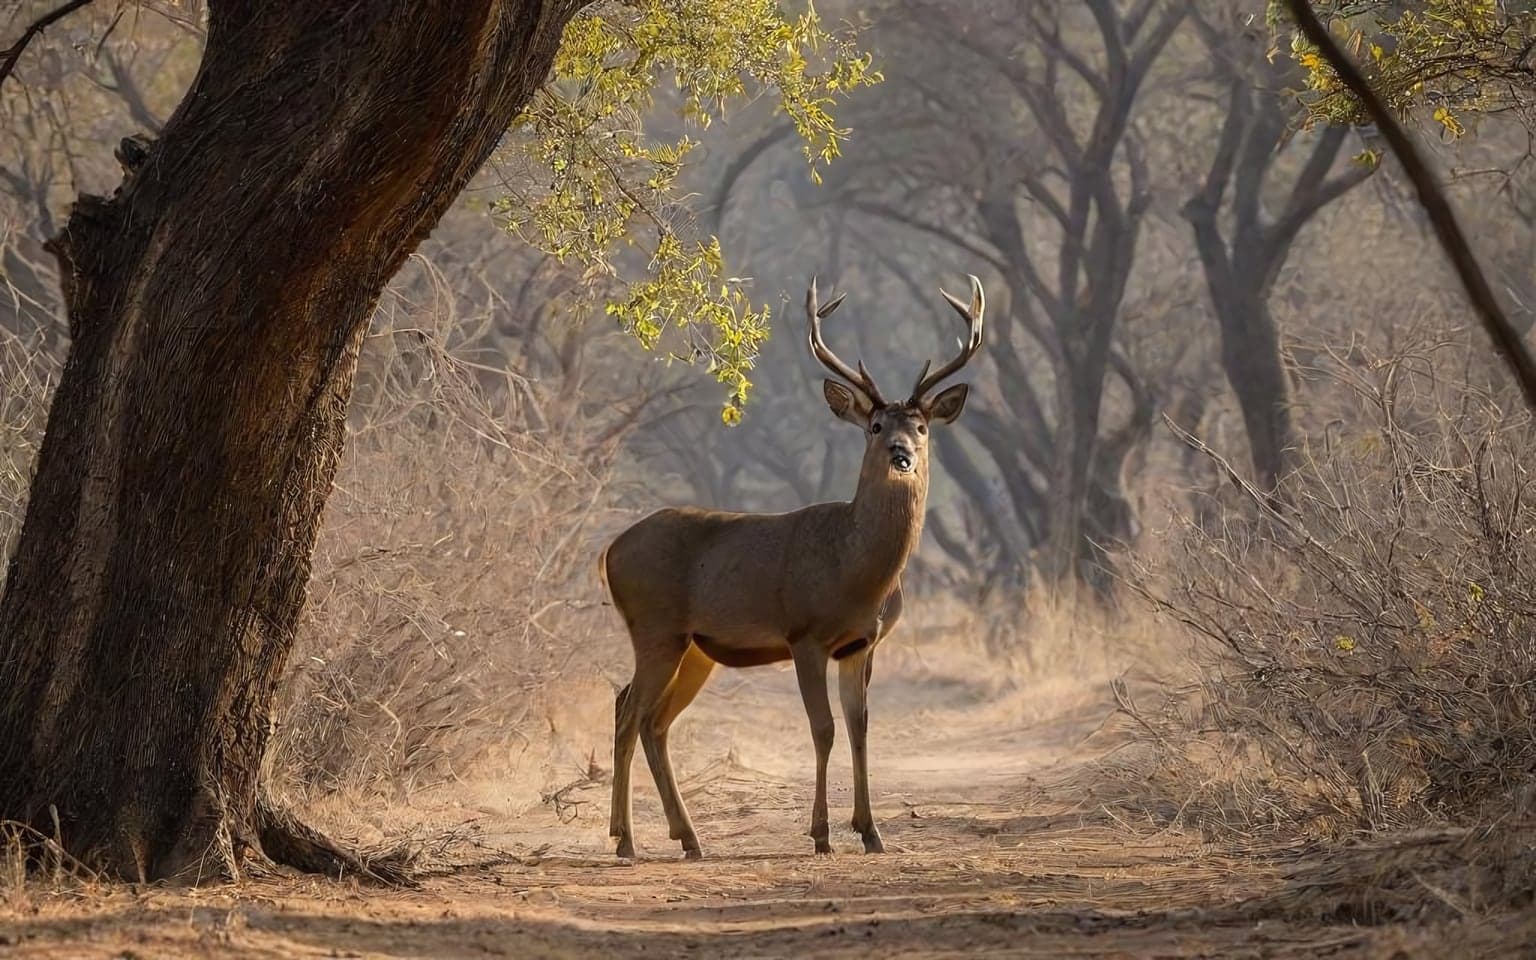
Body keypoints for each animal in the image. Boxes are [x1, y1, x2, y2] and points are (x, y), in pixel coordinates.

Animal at [601, 275, 985, 860]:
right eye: (875, 425)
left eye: (921, 426)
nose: (901, 454)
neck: (857, 572)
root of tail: (609, 552)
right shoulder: (805, 634)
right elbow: (822, 729)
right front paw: (822, 833)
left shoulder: (862, 643)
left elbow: (860, 727)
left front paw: (872, 832)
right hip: (655, 628)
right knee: (629, 712)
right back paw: (625, 841)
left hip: (694, 647)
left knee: (650, 718)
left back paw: (686, 838)